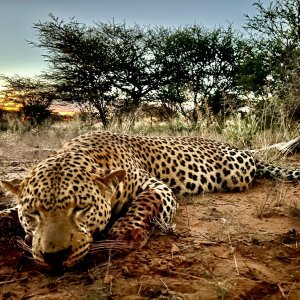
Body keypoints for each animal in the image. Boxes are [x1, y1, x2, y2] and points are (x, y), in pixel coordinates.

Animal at [0, 132, 300, 270]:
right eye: (32, 213)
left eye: (81, 209)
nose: (54, 256)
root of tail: (242, 149)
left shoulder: (156, 186)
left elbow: (145, 202)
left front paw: (125, 232)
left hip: (236, 175)